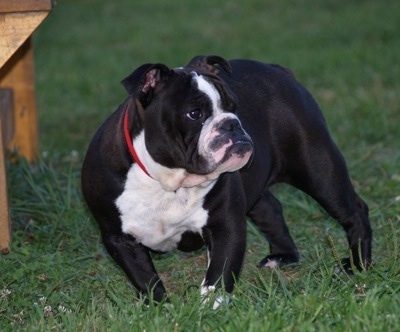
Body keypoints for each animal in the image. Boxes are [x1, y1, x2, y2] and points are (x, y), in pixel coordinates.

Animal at [81, 55, 372, 306]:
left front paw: (211, 308)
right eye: (194, 114)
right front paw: (160, 308)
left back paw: (358, 265)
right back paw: (282, 256)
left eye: (234, 107)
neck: (168, 181)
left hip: (318, 168)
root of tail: (278, 70)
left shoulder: (225, 224)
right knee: (270, 206)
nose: (232, 123)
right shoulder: (118, 238)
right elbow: (144, 277)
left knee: (354, 210)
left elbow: (220, 271)